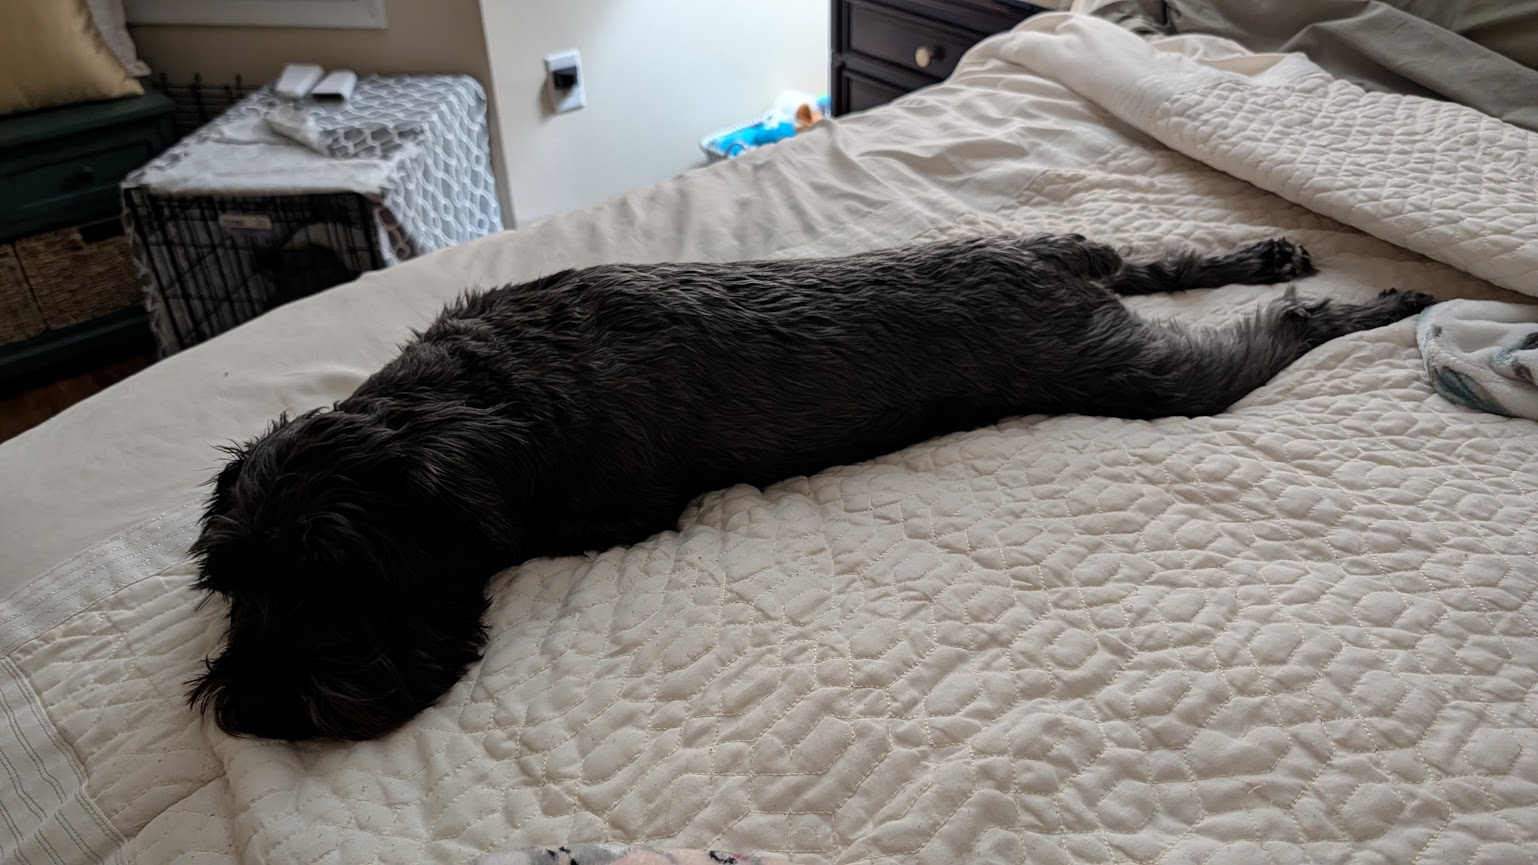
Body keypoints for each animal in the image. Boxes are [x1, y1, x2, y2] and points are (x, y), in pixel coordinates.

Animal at [187, 233, 1433, 741]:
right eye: (230, 575)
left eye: (343, 572)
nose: (256, 708)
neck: (481, 391)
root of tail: (1043, 262)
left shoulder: (606, 512)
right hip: (1106, 296)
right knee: (1162, 263)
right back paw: (1268, 256)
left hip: (1137, 371)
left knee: (1270, 334)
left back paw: (1381, 304)